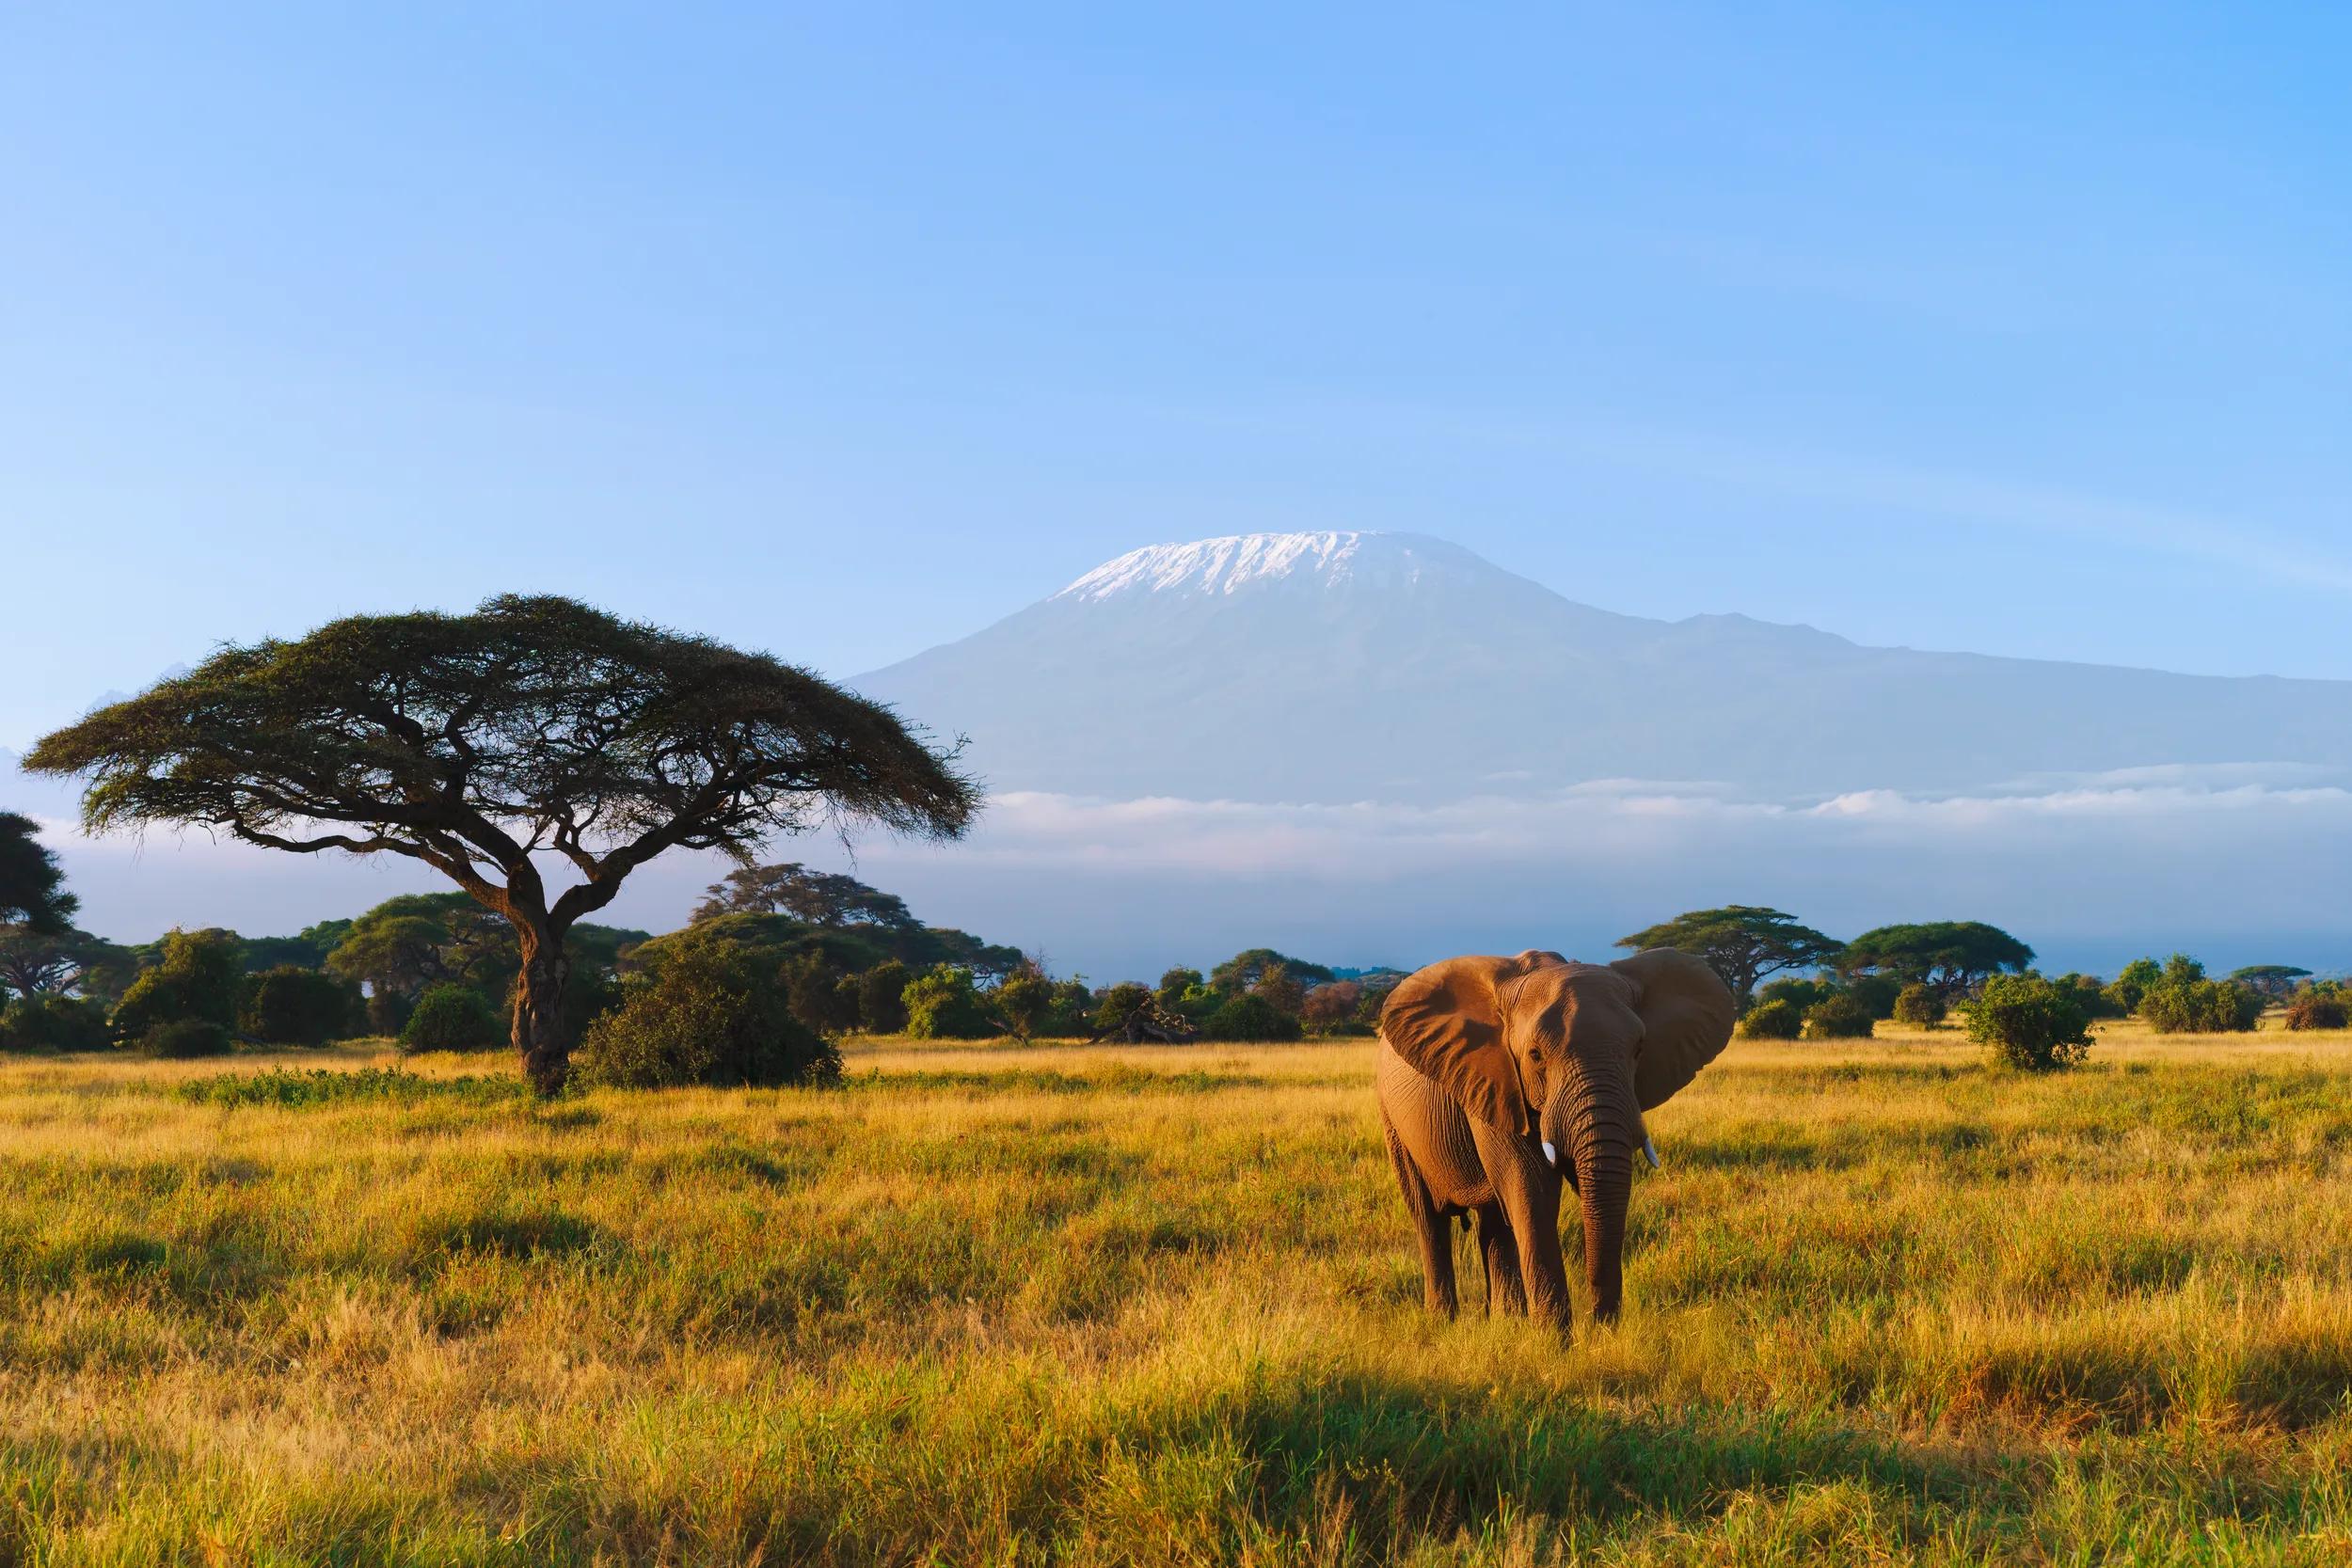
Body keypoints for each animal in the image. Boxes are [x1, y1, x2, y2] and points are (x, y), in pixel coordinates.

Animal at [1377, 947, 1735, 1337]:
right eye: (1535, 1055)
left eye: (1639, 1050)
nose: (1600, 1323)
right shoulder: (1496, 1081)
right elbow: (1531, 1189)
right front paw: (1553, 1341)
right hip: (1393, 1120)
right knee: (1429, 1218)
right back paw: (1443, 1321)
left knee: (1494, 1221)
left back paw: (1506, 1321)